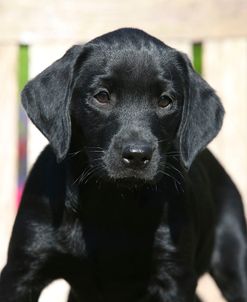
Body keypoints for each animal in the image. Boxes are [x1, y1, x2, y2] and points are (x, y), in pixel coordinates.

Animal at [0, 28, 247, 302]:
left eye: (165, 101)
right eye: (102, 96)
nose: (137, 155)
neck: (111, 201)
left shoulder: (175, 277)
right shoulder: (22, 272)